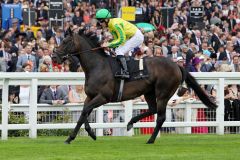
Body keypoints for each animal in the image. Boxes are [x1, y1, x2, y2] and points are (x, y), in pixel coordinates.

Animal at [54, 30, 218, 144]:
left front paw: (70, 138)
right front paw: (91, 134)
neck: (97, 66)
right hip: (149, 92)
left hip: (163, 93)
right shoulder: (90, 96)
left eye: (66, 41)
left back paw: (150, 139)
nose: (55, 56)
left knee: (160, 117)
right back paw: (130, 123)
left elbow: (85, 111)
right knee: (152, 109)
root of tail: (177, 65)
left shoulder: (103, 97)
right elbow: (84, 113)